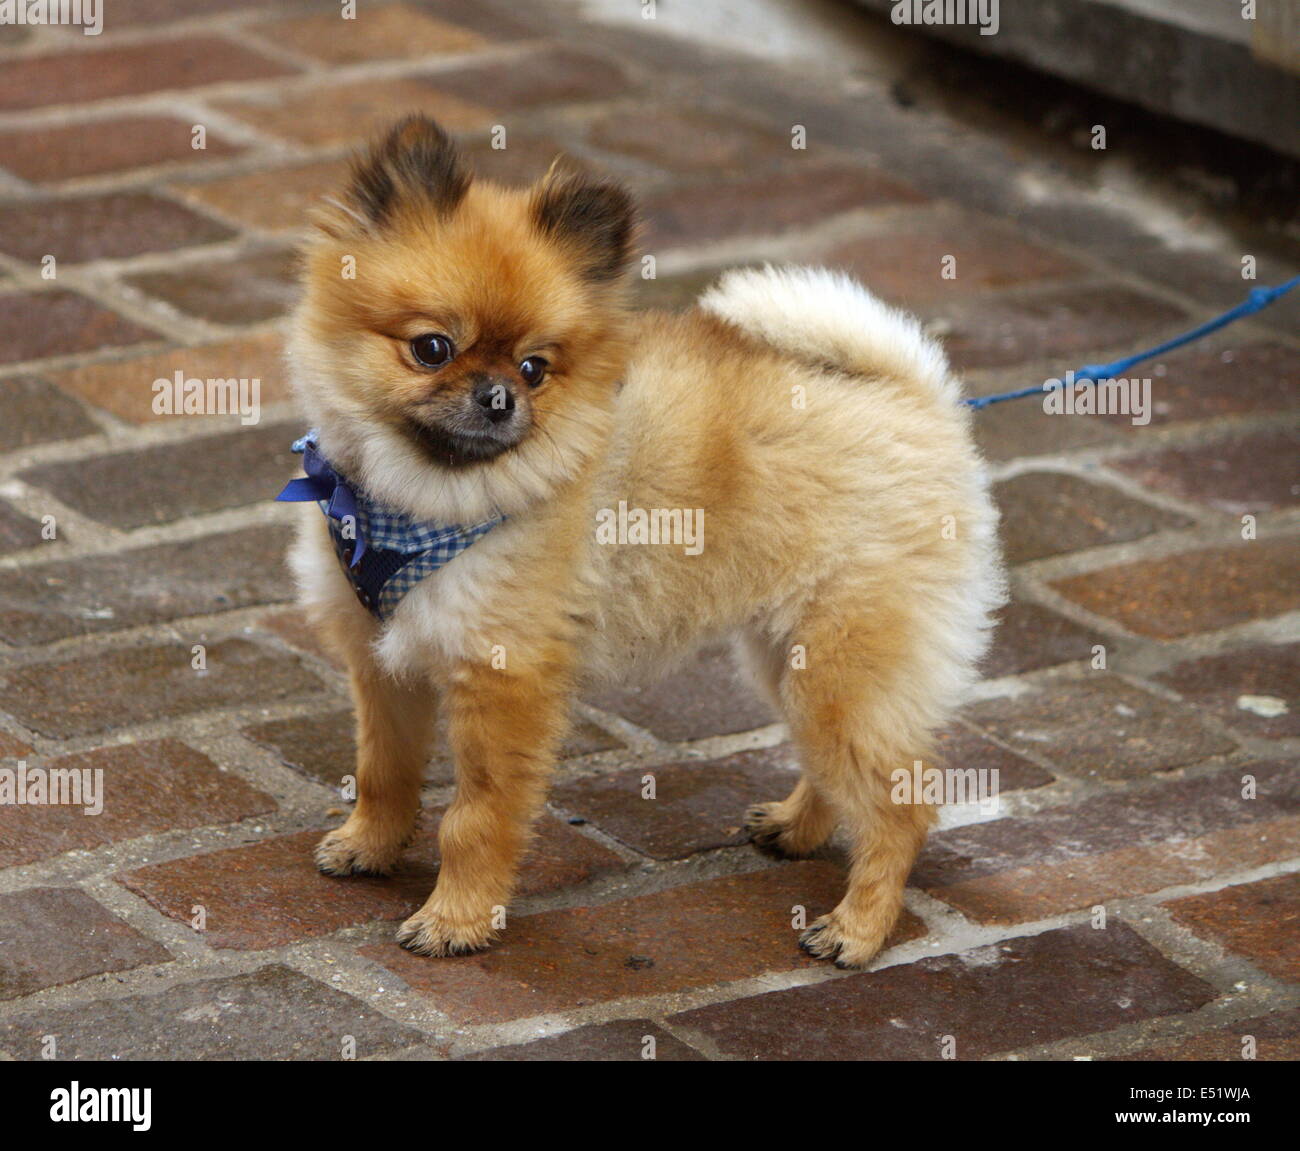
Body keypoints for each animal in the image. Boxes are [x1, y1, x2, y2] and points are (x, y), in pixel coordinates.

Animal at [284, 117, 998, 967]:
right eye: (432, 348)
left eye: (535, 367)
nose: (498, 397)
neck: (420, 501)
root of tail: (919, 401)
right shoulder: (382, 661)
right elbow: (382, 769)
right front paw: (370, 845)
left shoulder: (502, 681)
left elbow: (476, 817)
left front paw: (457, 918)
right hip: (788, 654)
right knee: (839, 770)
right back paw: (796, 828)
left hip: (840, 669)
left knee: (901, 804)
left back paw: (856, 927)